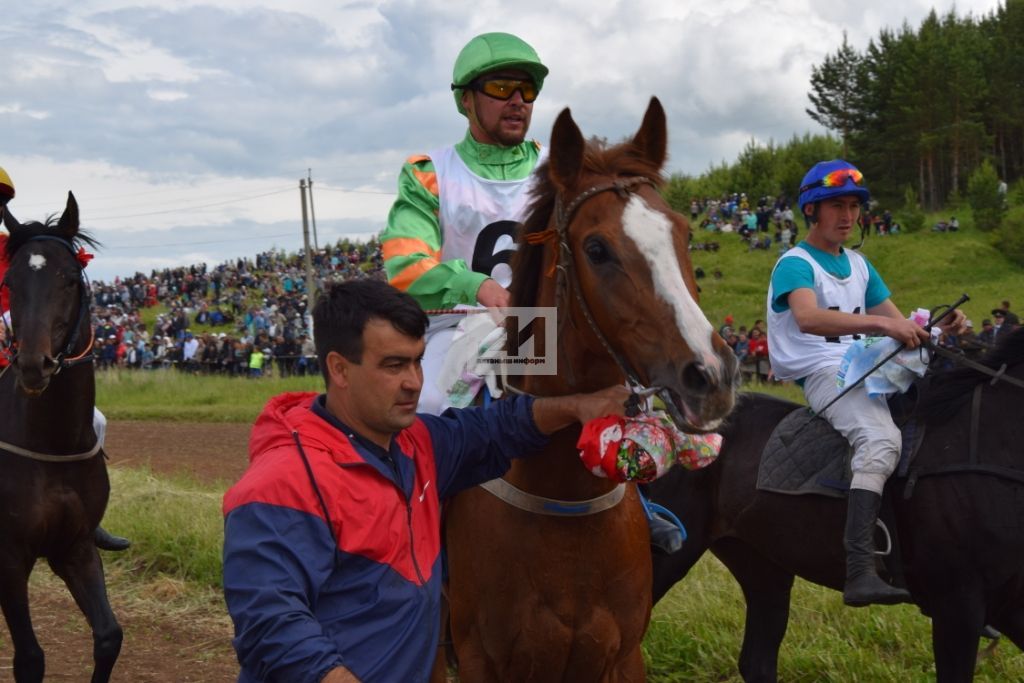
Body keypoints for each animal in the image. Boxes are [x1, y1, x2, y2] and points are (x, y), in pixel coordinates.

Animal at [444, 98, 741, 679]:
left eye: (683, 233)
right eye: (598, 249)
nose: (711, 376)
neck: (563, 500)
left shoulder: (622, 656)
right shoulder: (477, 659)